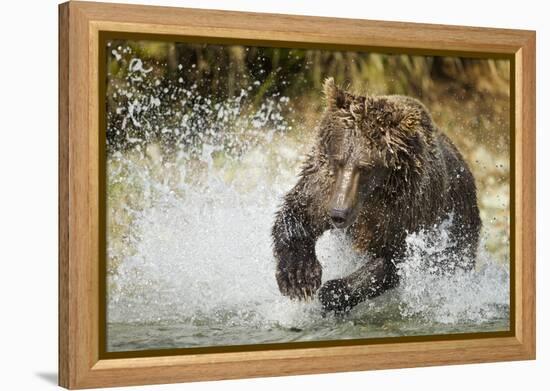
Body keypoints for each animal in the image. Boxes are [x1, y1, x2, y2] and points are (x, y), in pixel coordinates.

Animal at [274, 78, 480, 314]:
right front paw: (299, 277)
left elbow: (395, 260)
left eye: (365, 167)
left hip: (460, 228)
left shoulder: (410, 209)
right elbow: (300, 211)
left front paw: (334, 291)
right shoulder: (325, 185)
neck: (374, 195)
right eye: (339, 160)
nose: (338, 214)